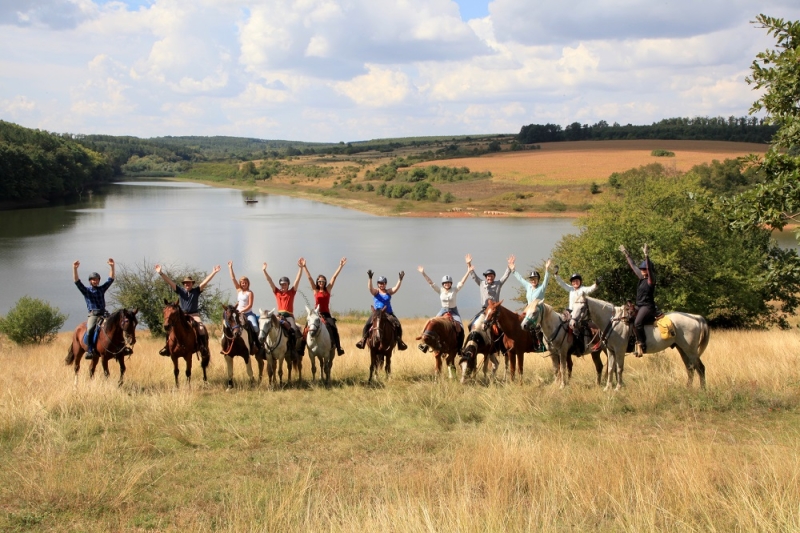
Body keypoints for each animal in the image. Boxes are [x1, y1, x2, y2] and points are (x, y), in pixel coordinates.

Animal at [572, 294, 708, 388]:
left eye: (582, 307)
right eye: (573, 307)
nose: (572, 324)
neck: (613, 321)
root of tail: (696, 318)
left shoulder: (620, 351)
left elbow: (619, 368)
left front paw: (618, 388)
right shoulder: (611, 351)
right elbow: (610, 368)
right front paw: (607, 388)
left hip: (690, 351)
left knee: (700, 368)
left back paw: (702, 390)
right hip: (682, 349)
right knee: (690, 368)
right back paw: (688, 388)